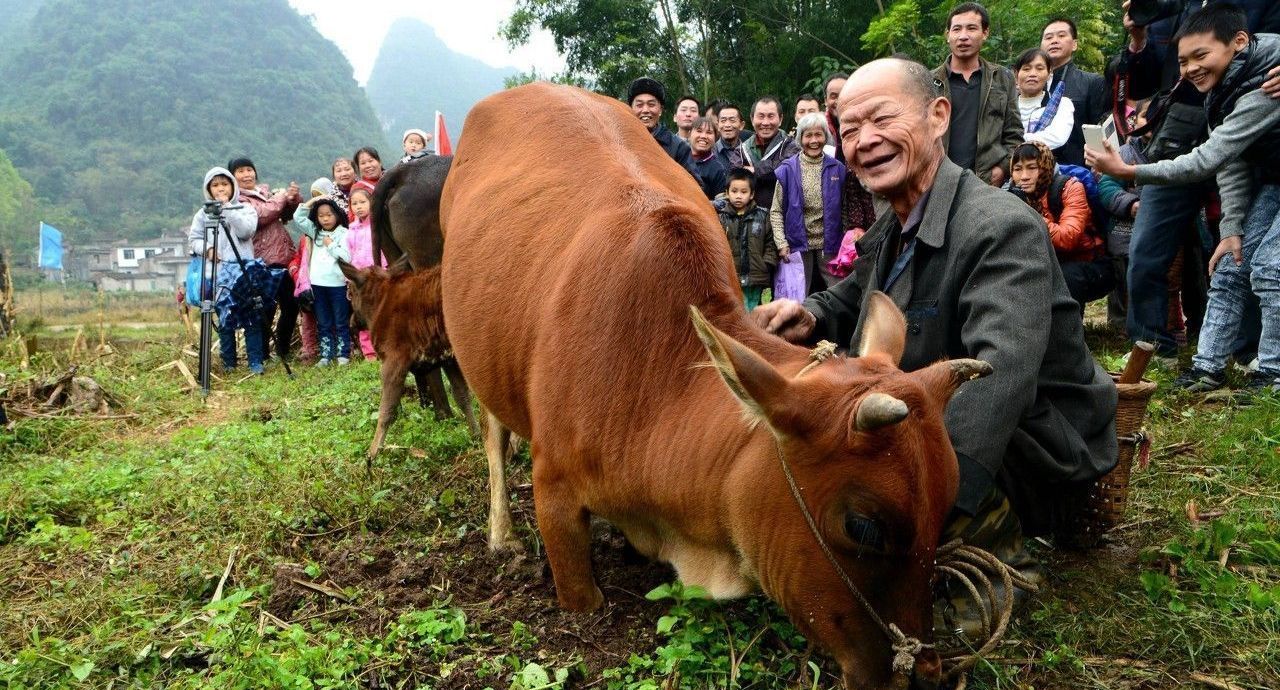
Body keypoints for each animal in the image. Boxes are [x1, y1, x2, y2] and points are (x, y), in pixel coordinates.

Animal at [337, 261, 478, 471]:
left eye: (350, 293)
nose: (352, 323)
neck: (378, 305)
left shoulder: (394, 361)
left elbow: (386, 411)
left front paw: (372, 456)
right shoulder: (448, 358)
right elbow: (462, 396)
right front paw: (476, 436)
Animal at [440, 85, 988, 690]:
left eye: (946, 508)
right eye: (863, 527)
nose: (926, 674)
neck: (656, 389)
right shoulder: (555, 489)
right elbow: (580, 589)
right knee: (493, 433)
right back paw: (502, 532)